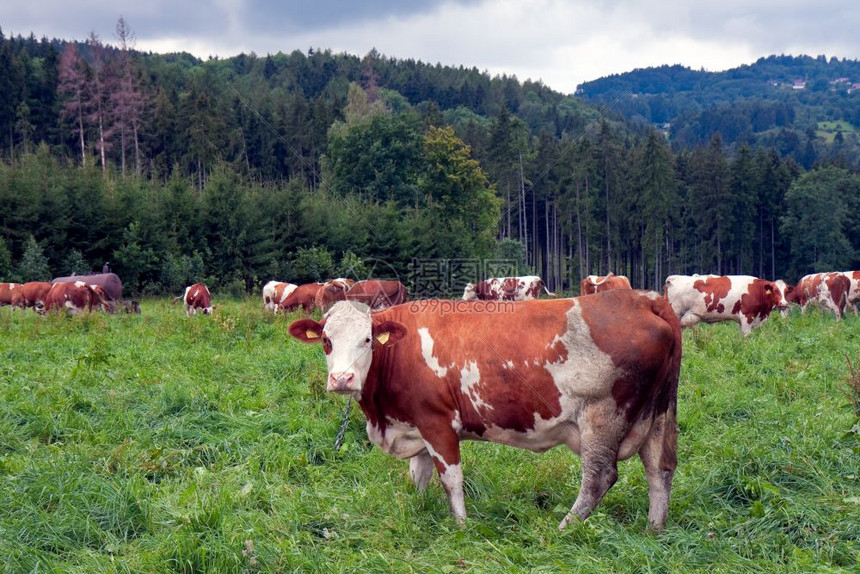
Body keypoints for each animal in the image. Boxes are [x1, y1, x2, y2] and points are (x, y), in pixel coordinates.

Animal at [292, 292, 680, 536]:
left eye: (368, 340)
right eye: (326, 341)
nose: (342, 379)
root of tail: (645, 299)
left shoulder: (437, 422)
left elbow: (451, 479)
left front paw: (461, 527)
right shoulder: (415, 424)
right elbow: (418, 477)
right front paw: (414, 512)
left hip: (603, 416)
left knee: (599, 476)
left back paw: (564, 529)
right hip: (659, 414)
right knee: (659, 469)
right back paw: (654, 530)